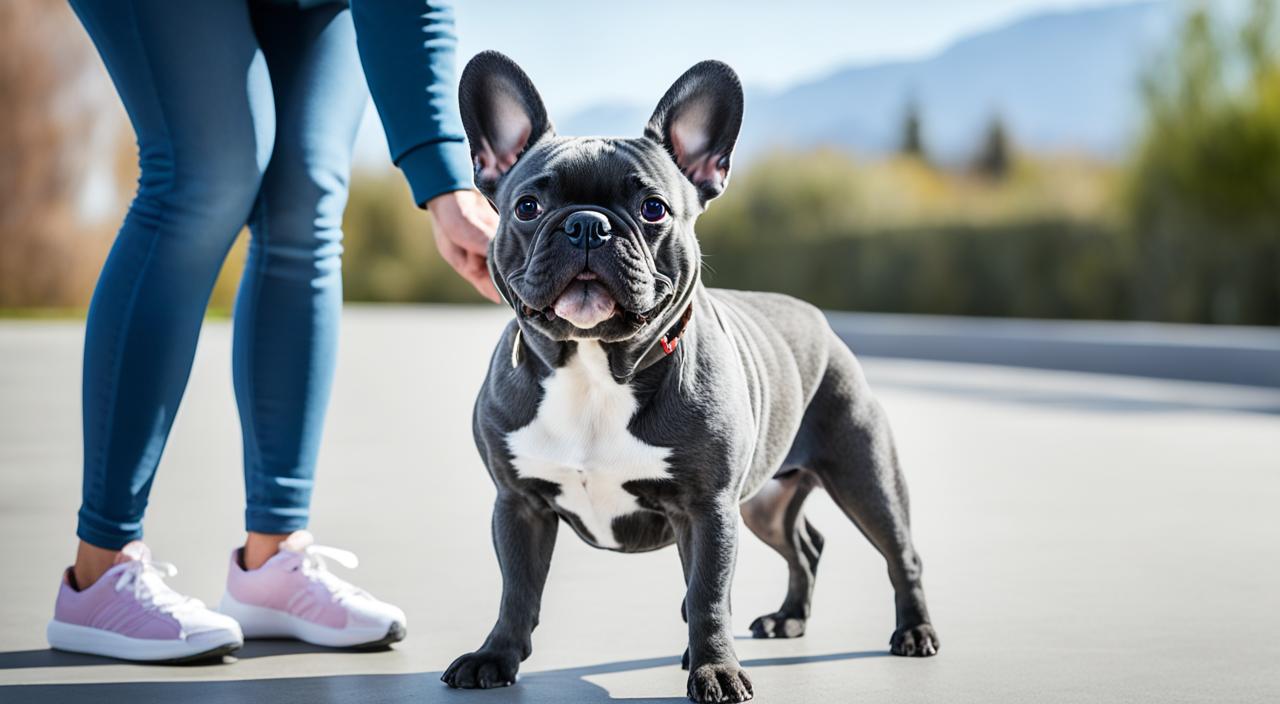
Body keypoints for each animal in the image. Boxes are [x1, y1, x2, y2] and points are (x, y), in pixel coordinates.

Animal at [442, 52, 942, 701]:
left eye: (653, 208)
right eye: (527, 207)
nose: (586, 225)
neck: (595, 367)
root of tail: (818, 320)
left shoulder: (708, 509)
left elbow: (706, 595)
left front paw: (714, 671)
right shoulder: (519, 503)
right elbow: (516, 590)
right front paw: (495, 656)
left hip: (864, 474)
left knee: (899, 553)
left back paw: (915, 632)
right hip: (764, 503)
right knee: (805, 546)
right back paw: (789, 619)